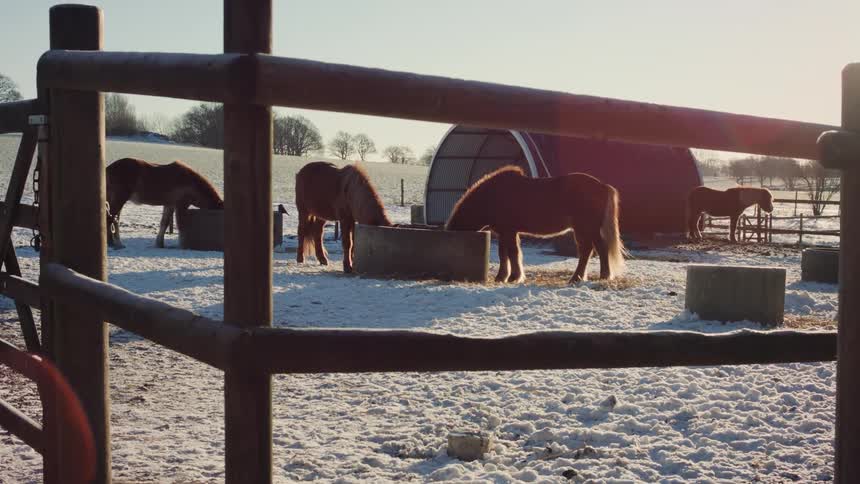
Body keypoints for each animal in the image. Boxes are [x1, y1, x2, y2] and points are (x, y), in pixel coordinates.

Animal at [445, 166, 626, 284]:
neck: (492, 196)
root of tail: (602, 186)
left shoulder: (508, 231)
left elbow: (511, 253)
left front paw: (512, 277)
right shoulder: (506, 232)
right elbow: (505, 253)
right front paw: (504, 276)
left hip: (585, 228)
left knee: (588, 251)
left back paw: (580, 277)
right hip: (589, 229)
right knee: (597, 249)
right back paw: (598, 276)